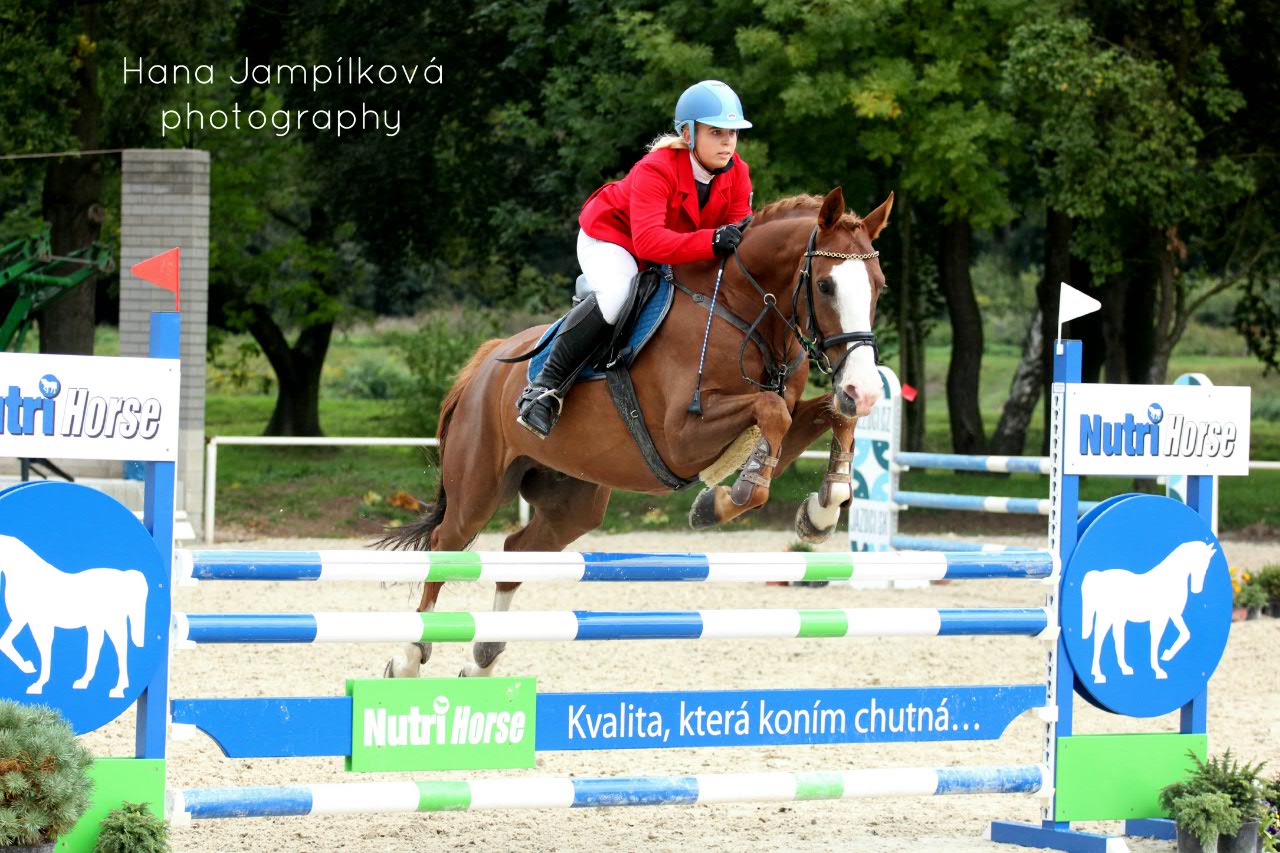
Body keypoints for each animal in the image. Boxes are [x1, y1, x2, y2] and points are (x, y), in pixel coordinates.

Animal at [378, 187, 893, 679]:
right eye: (825, 285)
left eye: (879, 286)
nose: (866, 389)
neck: (740, 310)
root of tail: (486, 362)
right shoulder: (681, 437)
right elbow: (772, 418)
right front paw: (726, 499)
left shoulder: (782, 415)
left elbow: (830, 415)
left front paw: (820, 511)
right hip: (479, 487)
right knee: (445, 544)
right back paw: (408, 658)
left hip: (573, 501)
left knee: (514, 551)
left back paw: (483, 658)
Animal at [1080, 540, 1216, 683]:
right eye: (1199, 562)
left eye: (1207, 565)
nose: (1197, 589)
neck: (1170, 579)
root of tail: (1099, 576)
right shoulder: (1161, 618)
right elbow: (1156, 640)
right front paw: (1159, 669)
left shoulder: (1174, 615)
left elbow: (1185, 634)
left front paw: (1166, 655)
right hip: (1106, 617)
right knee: (1099, 637)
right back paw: (1098, 674)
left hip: (1119, 619)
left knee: (1116, 637)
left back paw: (1124, 668)